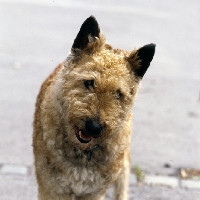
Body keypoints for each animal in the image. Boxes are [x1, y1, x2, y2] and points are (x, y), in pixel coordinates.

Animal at [32, 14, 155, 199]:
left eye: (118, 94)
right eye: (89, 82)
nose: (94, 127)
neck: (83, 153)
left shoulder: (94, 192)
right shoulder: (52, 189)